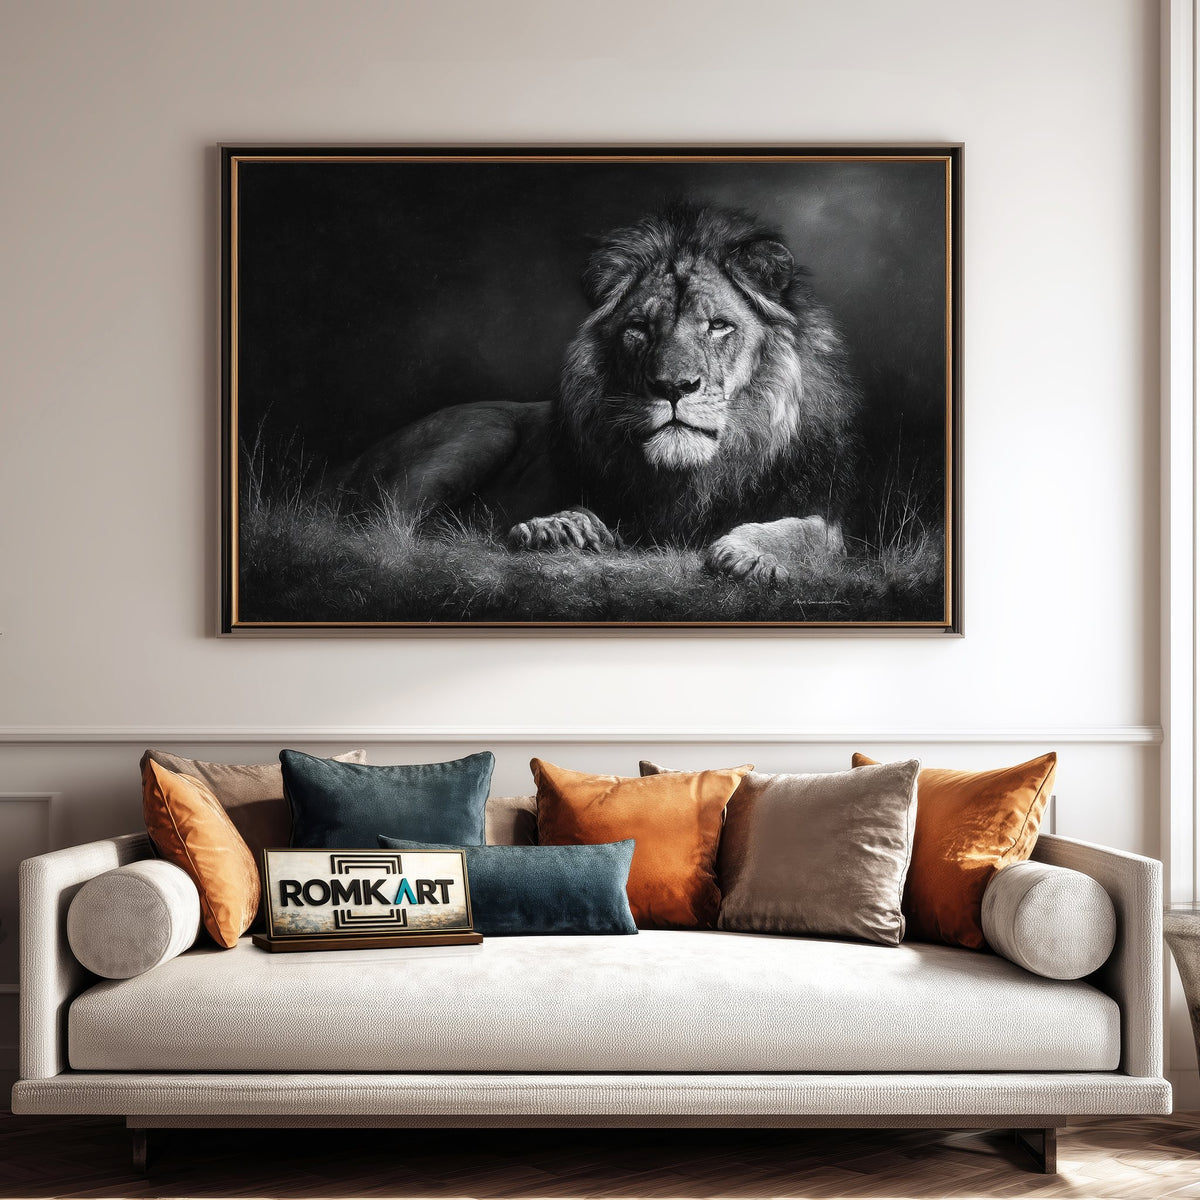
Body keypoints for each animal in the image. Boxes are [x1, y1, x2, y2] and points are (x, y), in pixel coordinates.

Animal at [340, 202, 859, 585]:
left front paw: (747, 554)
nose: (673, 387)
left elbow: (812, 531)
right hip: (480, 431)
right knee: (391, 529)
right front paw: (554, 526)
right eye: (639, 329)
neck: (692, 476)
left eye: (717, 326)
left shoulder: (824, 512)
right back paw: (564, 528)